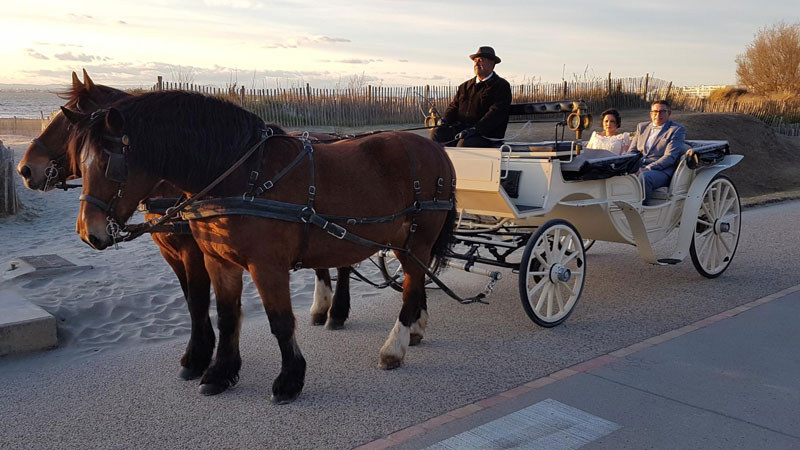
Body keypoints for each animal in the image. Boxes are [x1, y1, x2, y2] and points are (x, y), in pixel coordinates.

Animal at [17, 72, 360, 382]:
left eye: (67, 125)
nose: (26, 169)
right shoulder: (174, 253)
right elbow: (191, 300)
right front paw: (205, 355)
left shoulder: (195, 253)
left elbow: (197, 301)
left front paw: (198, 357)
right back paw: (322, 308)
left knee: (344, 264)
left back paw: (336, 312)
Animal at [65, 89, 456, 402]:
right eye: (79, 163)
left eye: (108, 163)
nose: (89, 232)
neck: (241, 177)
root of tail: (434, 147)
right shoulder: (217, 261)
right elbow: (226, 316)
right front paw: (220, 372)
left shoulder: (267, 266)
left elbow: (280, 321)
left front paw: (289, 380)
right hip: (404, 243)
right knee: (416, 281)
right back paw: (415, 328)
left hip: (418, 238)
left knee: (410, 288)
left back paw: (394, 347)